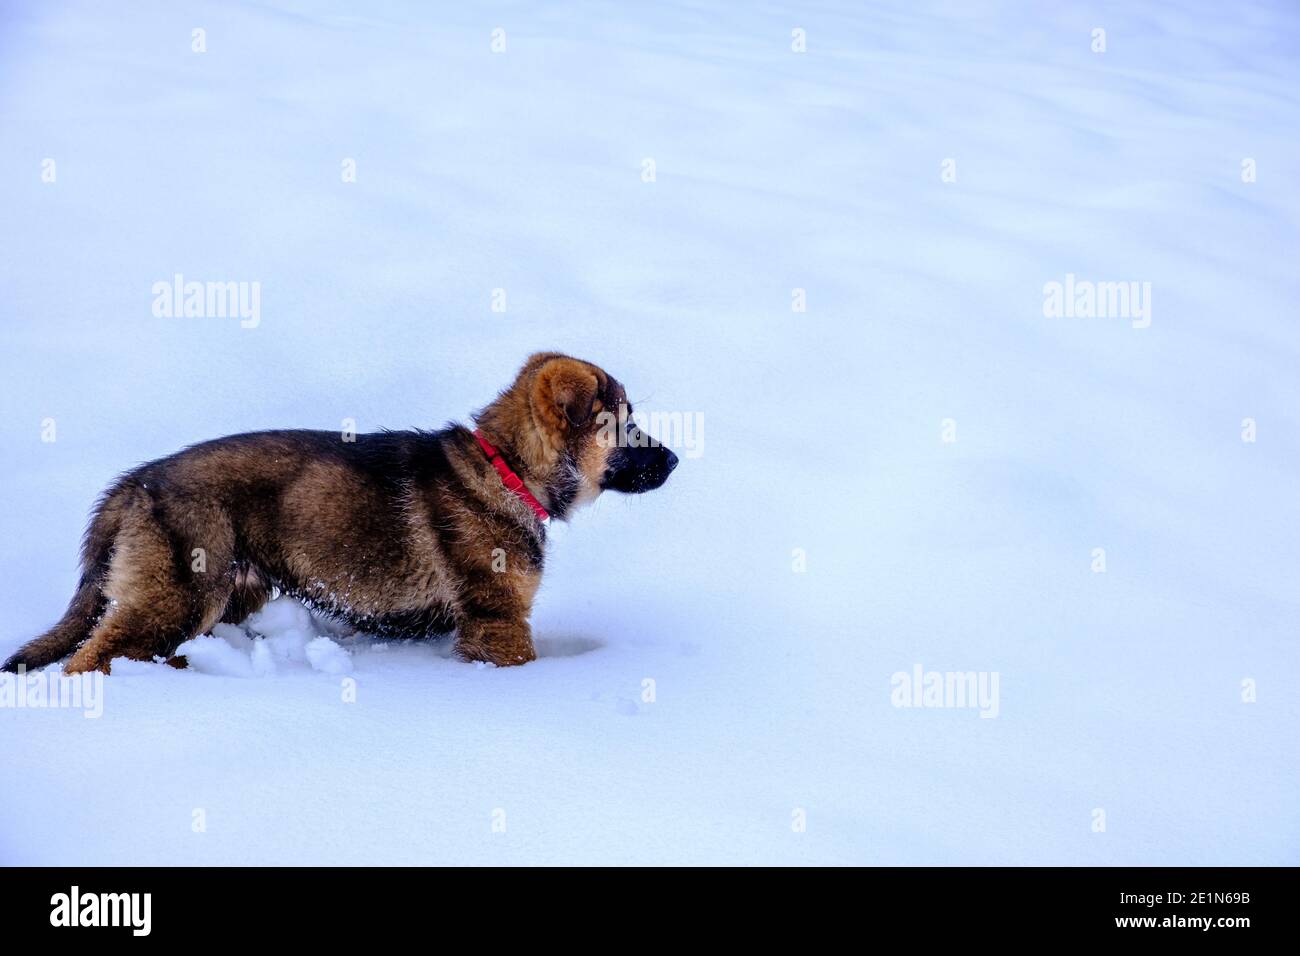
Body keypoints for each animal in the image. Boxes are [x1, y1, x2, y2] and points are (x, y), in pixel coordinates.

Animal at [2, 356, 681, 676]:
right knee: (93, 656)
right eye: (624, 425)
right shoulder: (498, 619)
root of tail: (137, 480)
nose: (676, 458)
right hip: (181, 591)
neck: (510, 468)